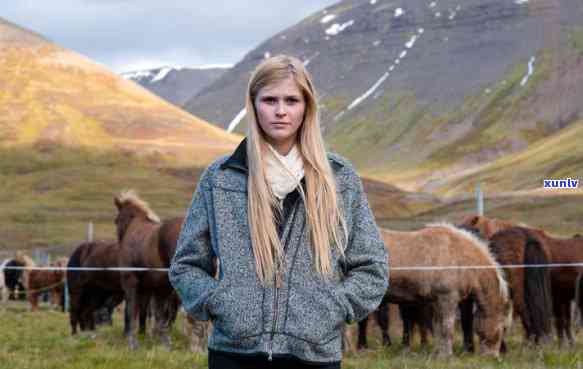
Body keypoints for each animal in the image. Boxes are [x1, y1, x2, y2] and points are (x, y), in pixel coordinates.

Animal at [116, 191, 184, 350]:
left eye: (116, 220)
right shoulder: (154, 287)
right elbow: (155, 314)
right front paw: (159, 339)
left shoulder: (130, 282)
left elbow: (131, 310)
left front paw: (132, 341)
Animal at [358, 223, 512, 356]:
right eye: (503, 328)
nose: (493, 357)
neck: (459, 256)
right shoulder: (447, 298)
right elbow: (446, 328)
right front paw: (446, 355)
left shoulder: (437, 301)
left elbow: (439, 328)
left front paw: (438, 353)